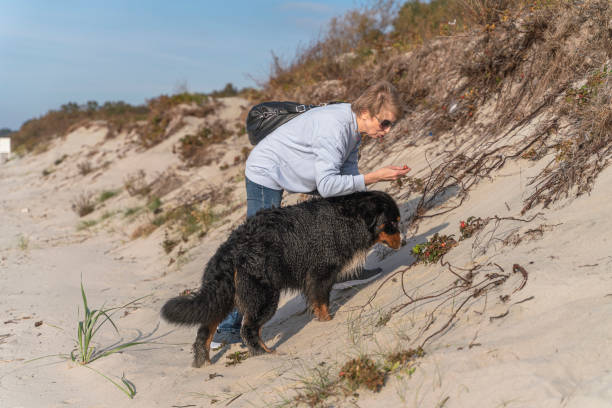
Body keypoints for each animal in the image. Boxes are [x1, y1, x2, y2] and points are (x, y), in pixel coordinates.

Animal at [160, 191, 404, 366]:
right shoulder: (320, 272)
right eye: (392, 223)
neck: (349, 217)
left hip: (224, 297)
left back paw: (203, 362)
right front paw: (327, 320)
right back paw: (264, 353)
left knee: (204, 333)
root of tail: (229, 251)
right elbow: (321, 300)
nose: (401, 242)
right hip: (264, 297)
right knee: (249, 330)